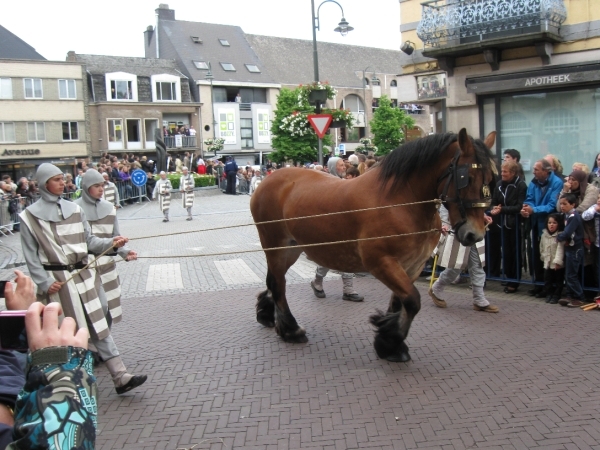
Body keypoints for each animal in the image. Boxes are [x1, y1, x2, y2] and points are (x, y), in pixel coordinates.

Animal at [250, 129, 496, 362]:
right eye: (466, 176)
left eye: (490, 178)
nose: (475, 234)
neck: (401, 201)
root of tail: (267, 180)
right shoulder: (381, 263)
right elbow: (412, 300)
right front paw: (390, 340)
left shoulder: (412, 266)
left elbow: (400, 302)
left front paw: (390, 343)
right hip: (276, 246)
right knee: (278, 283)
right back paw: (291, 330)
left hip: (292, 248)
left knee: (273, 280)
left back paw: (268, 314)